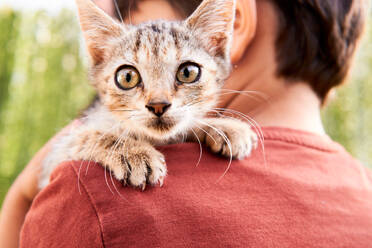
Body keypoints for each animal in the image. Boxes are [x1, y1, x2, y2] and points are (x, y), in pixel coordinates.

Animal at [39, 0, 258, 189]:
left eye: (188, 72)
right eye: (127, 77)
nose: (158, 105)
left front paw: (224, 127)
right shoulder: (54, 160)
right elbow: (88, 135)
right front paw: (134, 153)